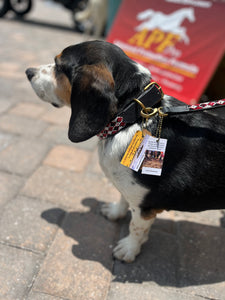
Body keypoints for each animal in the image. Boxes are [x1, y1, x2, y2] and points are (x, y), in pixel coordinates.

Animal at [25, 40, 225, 262]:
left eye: (59, 66)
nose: (28, 72)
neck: (131, 118)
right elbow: (122, 198)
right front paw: (115, 212)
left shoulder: (145, 207)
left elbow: (136, 228)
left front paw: (128, 249)